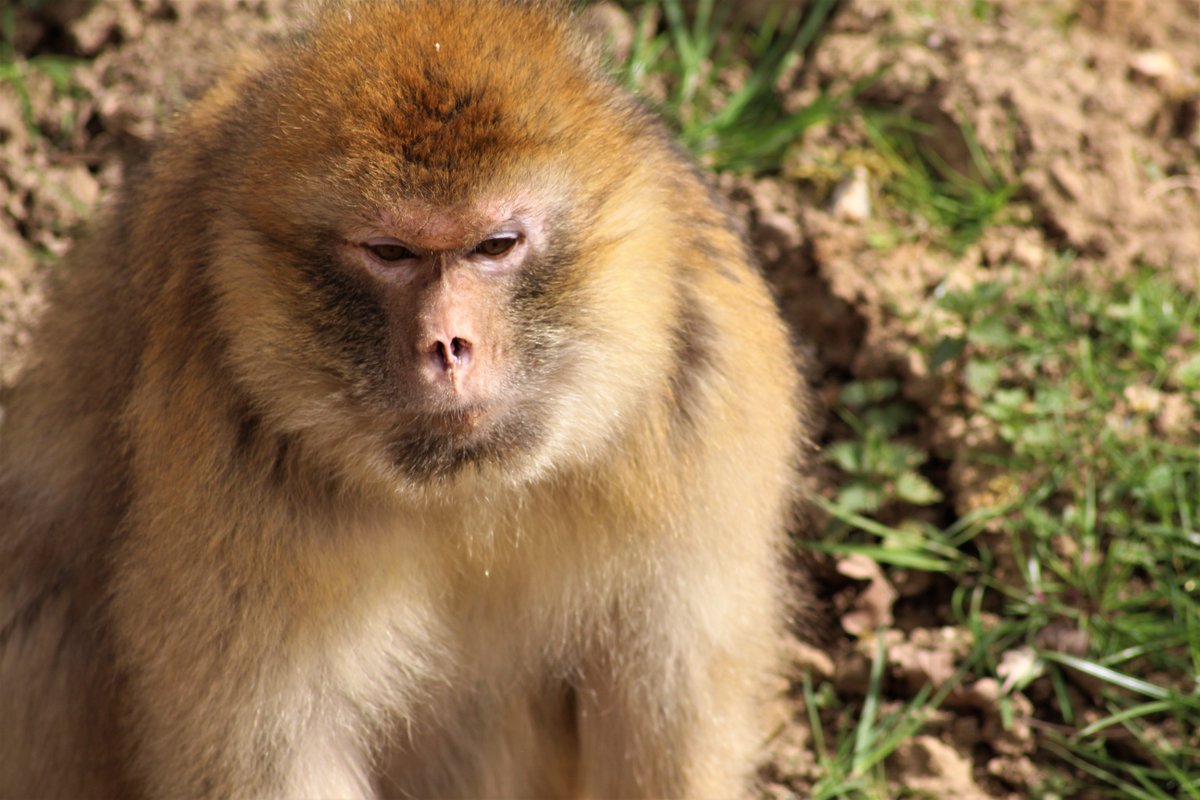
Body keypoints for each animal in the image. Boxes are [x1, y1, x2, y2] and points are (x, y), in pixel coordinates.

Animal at [0, 0, 809, 797]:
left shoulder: (700, 403)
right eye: (391, 253)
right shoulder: (227, 467)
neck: (472, 494)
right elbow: (272, 755)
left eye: (496, 245)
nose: (447, 345)